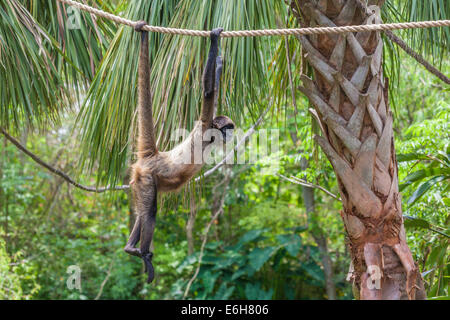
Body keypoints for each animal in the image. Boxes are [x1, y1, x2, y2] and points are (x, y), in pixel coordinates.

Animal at [125, 21, 234, 282]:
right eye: (227, 128)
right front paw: (214, 40)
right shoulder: (204, 126)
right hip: (147, 176)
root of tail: (154, 155)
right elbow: (208, 94)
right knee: (150, 211)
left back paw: (130, 248)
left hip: (143, 180)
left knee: (143, 212)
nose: (231, 134)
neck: (211, 136)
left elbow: (212, 92)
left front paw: (219, 63)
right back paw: (143, 254)